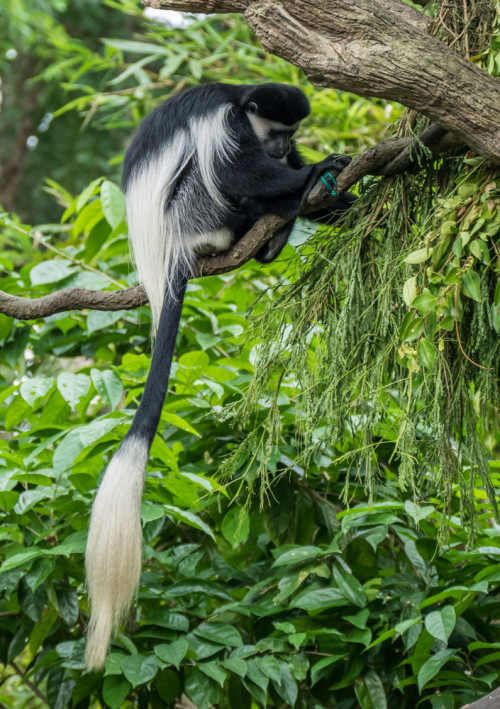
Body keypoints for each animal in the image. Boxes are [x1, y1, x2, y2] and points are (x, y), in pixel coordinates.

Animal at [84, 83, 354, 668]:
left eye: (292, 135)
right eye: (277, 132)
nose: (285, 151)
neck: (242, 101)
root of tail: (167, 259)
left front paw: (334, 192)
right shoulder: (225, 125)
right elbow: (236, 171)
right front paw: (318, 170)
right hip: (192, 214)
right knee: (217, 185)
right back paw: (268, 214)